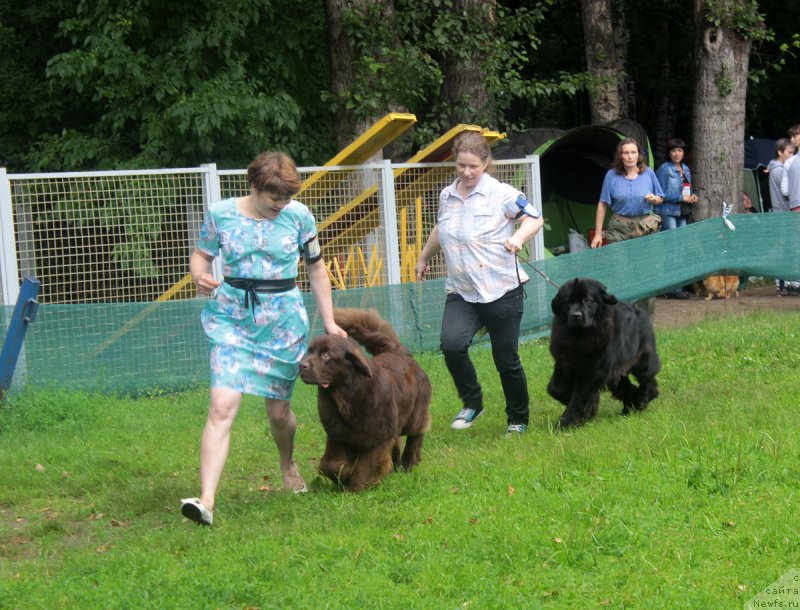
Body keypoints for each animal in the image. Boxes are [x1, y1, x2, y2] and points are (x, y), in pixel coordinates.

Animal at [296, 308, 432, 490]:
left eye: (325, 355)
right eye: (310, 352)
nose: (301, 365)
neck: (345, 395)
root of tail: (400, 353)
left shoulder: (377, 437)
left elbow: (365, 466)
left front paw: (355, 486)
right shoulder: (338, 435)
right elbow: (330, 465)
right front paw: (344, 475)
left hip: (414, 415)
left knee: (416, 433)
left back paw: (408, 462)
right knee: (396, 441)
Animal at [548, 276, 660, 428]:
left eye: (586, 300)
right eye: (568, 301)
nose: (576, 315)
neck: (580, 336)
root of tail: (639, 310)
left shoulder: (593, 371)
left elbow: (579, 398)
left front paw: (566, 423)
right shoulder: (563, 363)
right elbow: (554, 389)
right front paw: (571, 401)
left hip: (641, 360)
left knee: (648, 379)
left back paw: (643, 399)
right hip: (616, 370)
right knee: (624, 386)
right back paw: (630, 407)